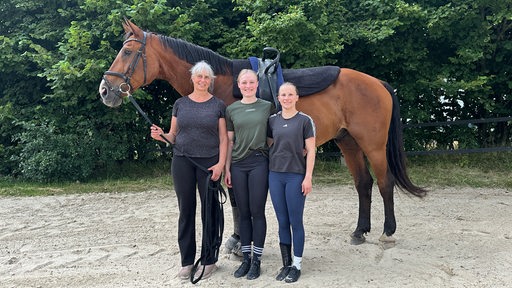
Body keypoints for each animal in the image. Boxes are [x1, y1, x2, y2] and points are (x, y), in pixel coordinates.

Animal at [98, 19, 426, 244]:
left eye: (127, 51)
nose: (105, 90)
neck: (224, 84)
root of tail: (378, 83)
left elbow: (236, 199)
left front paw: (237, 240)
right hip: (348, 142)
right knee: (363, 184)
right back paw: (360, 231)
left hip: (372, 144)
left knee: (384, 182)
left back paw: (387, 231)